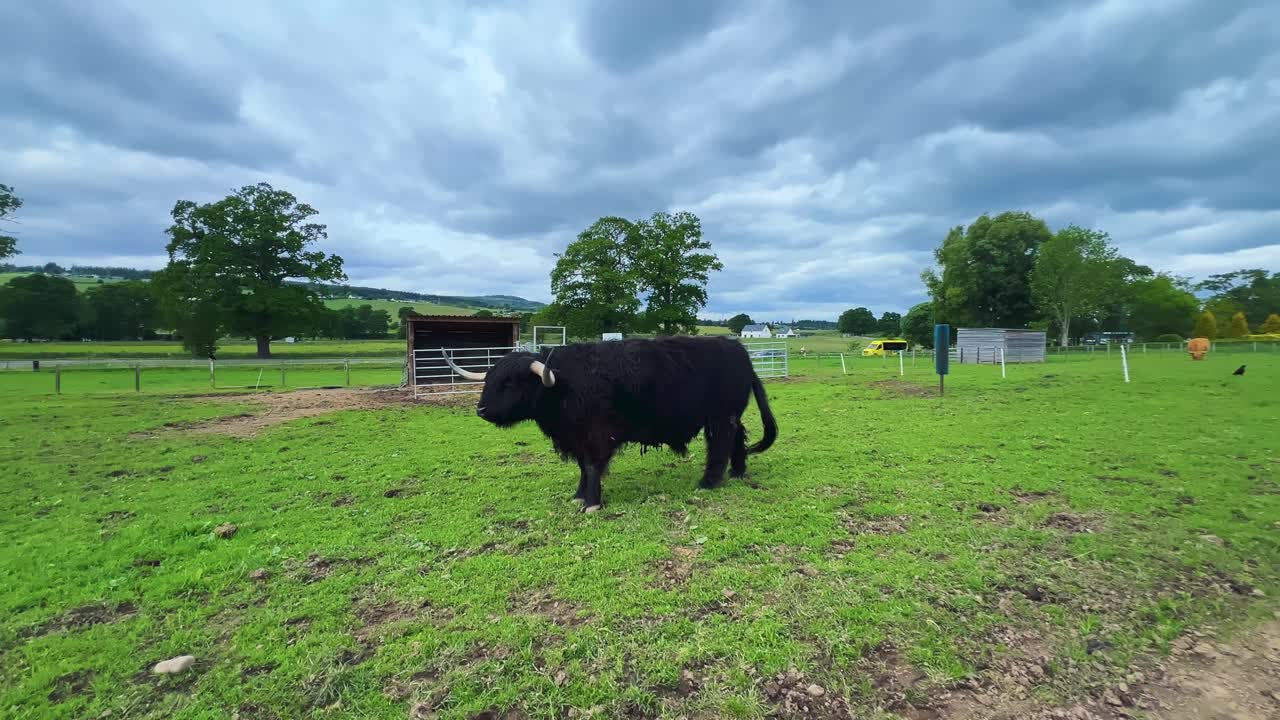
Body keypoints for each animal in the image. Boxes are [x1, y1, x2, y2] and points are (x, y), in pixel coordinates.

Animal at [443, 335, 778, 512]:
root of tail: (737, 348)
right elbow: (582, 467)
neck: (566, 383)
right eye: (490, 379)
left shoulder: (598, 436)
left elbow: (592, 467)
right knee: (738, 438)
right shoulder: (576, 437)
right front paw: (579, 495)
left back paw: (709, 482)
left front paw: (592, 503)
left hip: (720, 416)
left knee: (719, 444)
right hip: (730, 415)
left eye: (510, 382)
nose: (481, 410)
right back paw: (737, 472)